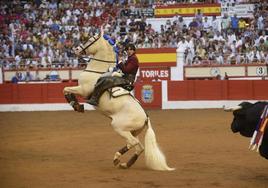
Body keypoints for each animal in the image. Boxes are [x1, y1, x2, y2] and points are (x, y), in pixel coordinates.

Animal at [63, 30, 175, 170]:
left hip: (119, 127)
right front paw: (77, 105)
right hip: (132, 131)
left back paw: (117, 159)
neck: (98, 70)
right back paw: (125, 163)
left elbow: (65, 89)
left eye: (90, 39)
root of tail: (146, 118)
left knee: (134, 143)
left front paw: (76, 105)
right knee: (138, 146)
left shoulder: (83, 90)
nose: (76, 49)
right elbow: (66, 89)